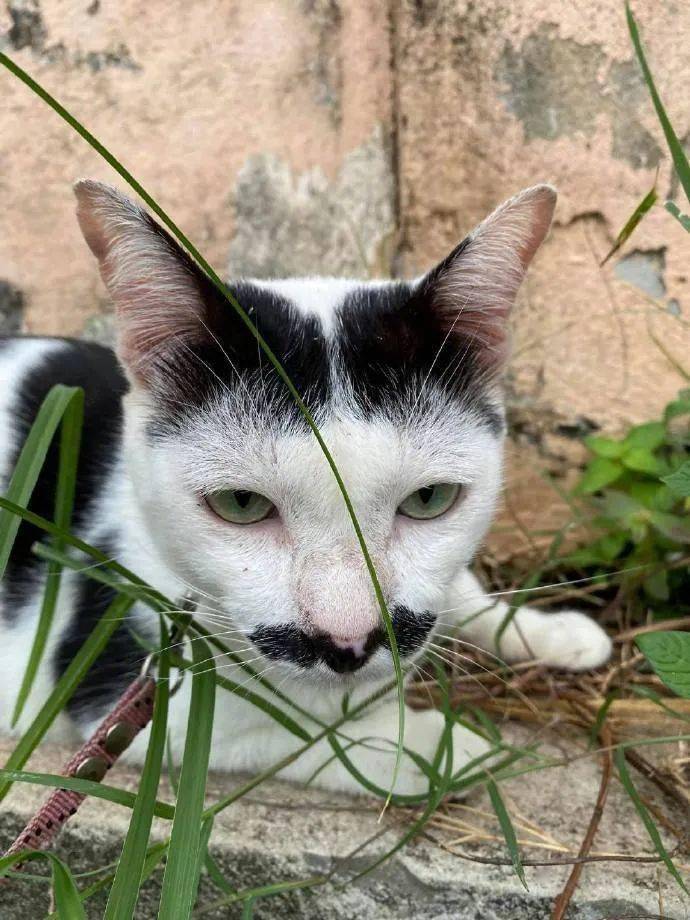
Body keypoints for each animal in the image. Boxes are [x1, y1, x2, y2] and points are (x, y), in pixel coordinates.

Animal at [0, 183, 612, 796]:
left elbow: (460, 594)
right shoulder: (135, 702)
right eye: (241, 504)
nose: (351, 641)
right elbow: (314, 736)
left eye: (429, 499)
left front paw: (552, 632)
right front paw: (450, 748)